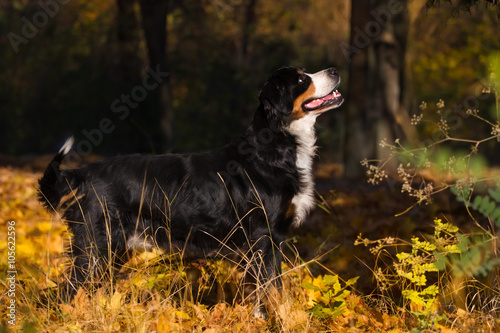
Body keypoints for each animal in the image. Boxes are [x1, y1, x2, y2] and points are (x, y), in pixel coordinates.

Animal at [38, 65, 344, 316]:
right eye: (301, 79)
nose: (334, 69)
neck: (276, 146)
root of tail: (84, 173)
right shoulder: (264, 238)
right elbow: (269, 290)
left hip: (113, 252)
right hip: (95, 250)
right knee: (65, 292)